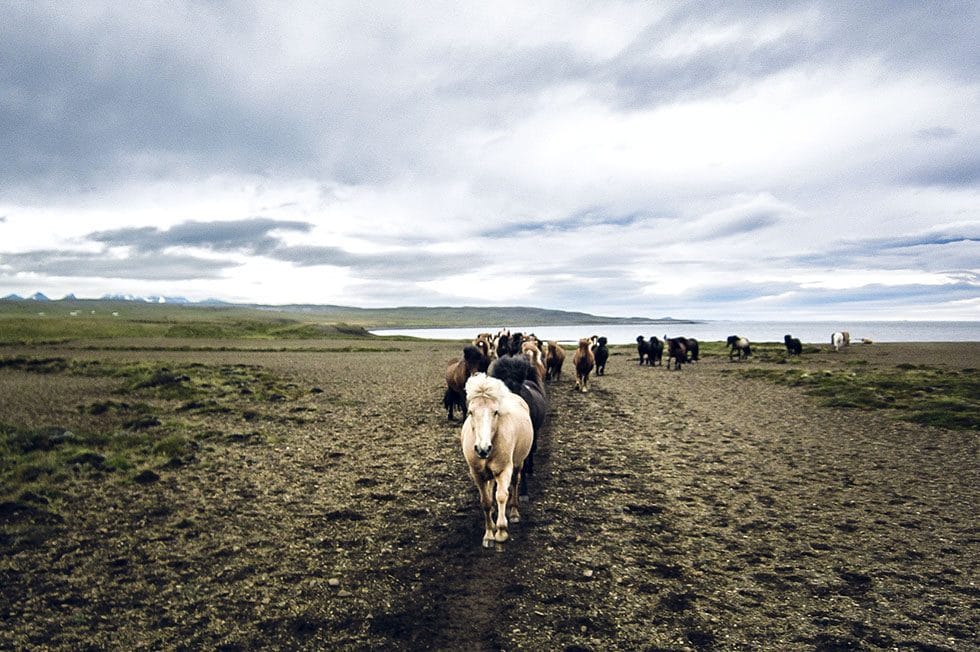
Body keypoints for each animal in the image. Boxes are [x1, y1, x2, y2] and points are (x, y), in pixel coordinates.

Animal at [462, 374, 532, 548]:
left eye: (495, 412)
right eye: (470, 412)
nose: (483, 449)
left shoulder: (504, 470)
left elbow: (501, 496)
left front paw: (501, 531)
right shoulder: (477, 474)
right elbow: (486, 502)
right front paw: (489, 534)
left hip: (518, 464)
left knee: (514, 483)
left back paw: (513, 512)